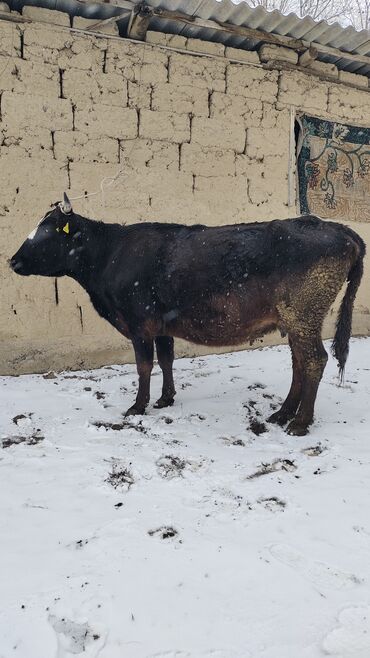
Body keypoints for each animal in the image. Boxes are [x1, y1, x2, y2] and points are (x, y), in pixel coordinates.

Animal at [10, 192, 366, 434]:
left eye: (47, 232)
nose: (12, 261)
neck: (110, 253)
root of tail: (336, 227)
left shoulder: (139, 324)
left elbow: (144, 366)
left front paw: (138, 406)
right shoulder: (161, 324)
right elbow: (167, 359)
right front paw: (166, 398)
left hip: (304, 316)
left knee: (315, 360)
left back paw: (300, 423)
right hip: (296, 321)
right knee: (299, 363)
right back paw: (282, 413)